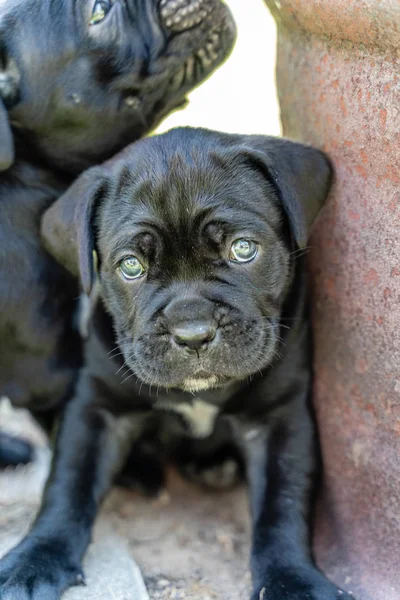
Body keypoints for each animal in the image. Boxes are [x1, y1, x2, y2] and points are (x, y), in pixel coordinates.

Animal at [0, 127, 354, 600]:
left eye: (244, 249)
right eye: (131, 266)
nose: (193, 333)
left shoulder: (281, 419)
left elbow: (283, 505)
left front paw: (293, 580)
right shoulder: (95, 408)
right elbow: (67, 485)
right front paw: (34, 560)